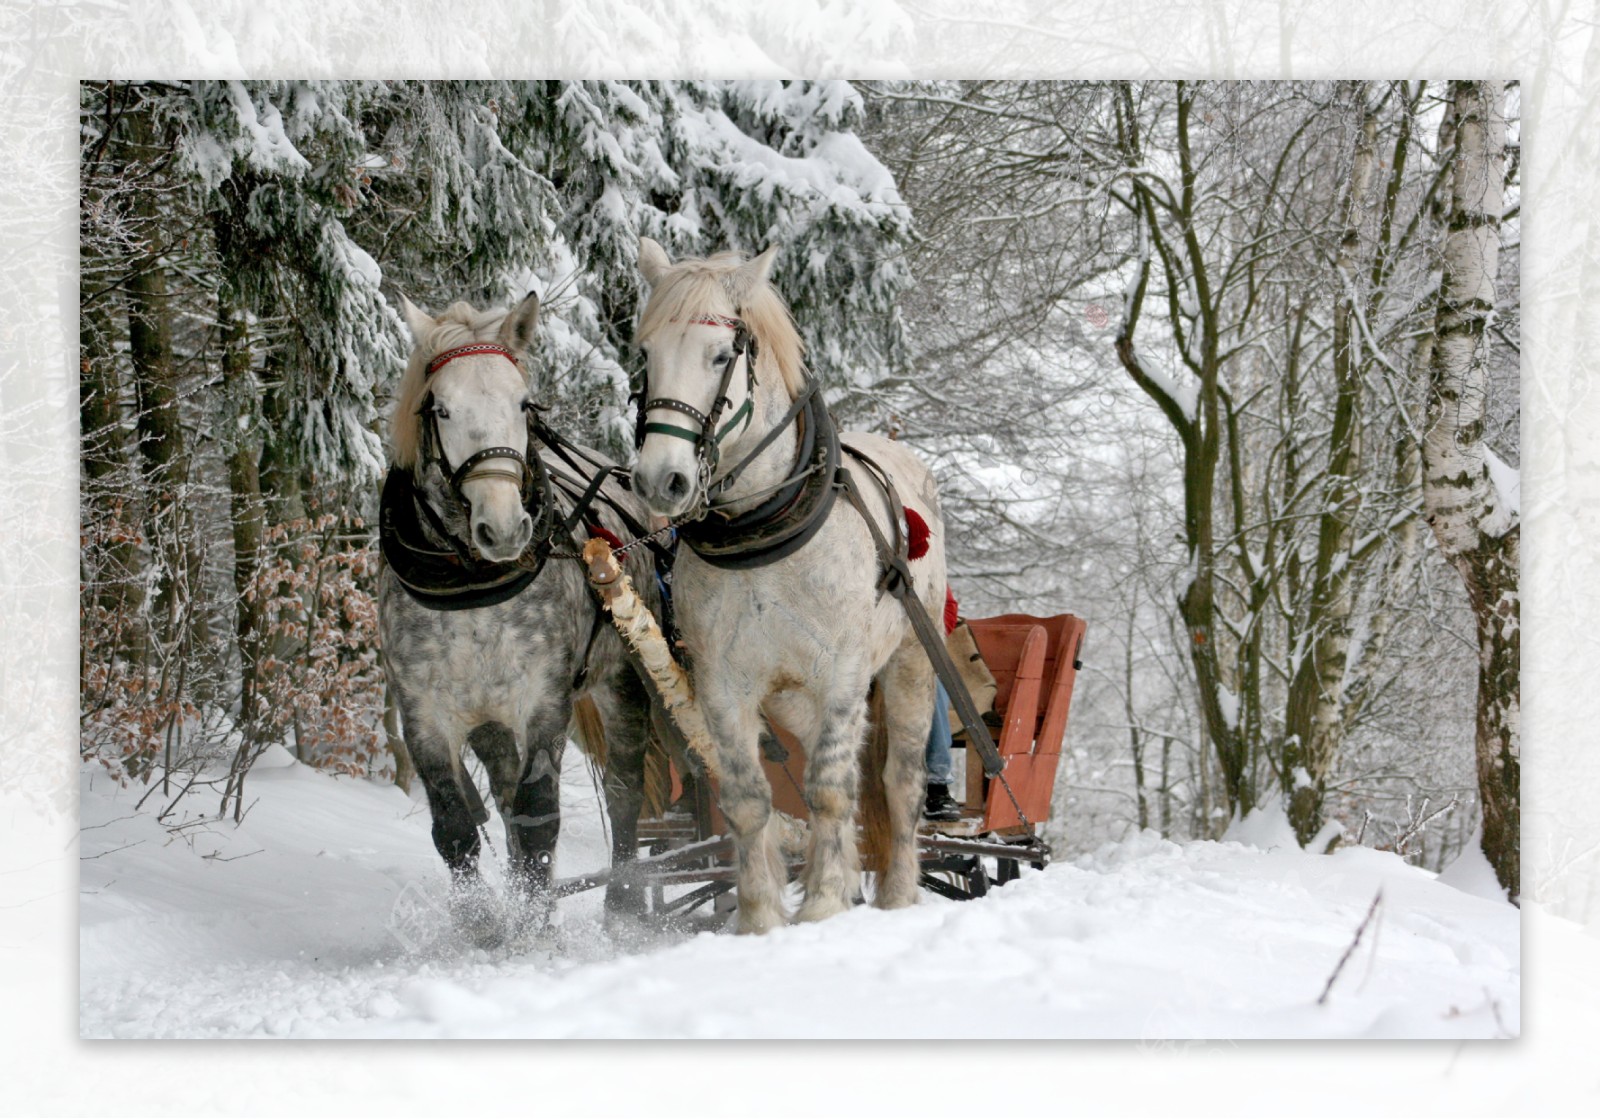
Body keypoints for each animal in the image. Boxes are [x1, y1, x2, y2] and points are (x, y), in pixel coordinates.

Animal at [627, 238, 947, 934]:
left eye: (721, 356)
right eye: (646, 354)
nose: (661, 480)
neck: (763, 530)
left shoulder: (844, 673)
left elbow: (829, 788)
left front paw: (823, 903)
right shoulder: (723, 684)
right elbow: (750, 799)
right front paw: (760, 917)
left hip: (910, 662)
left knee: (897, 779)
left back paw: (897, 893)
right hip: (795, 697)